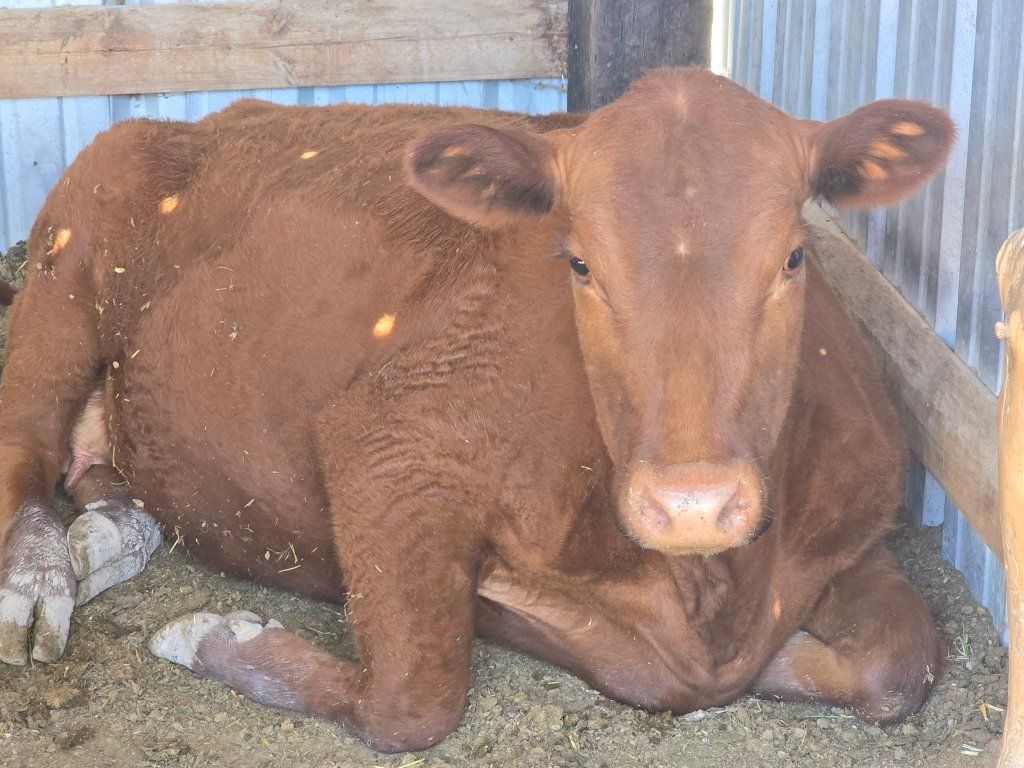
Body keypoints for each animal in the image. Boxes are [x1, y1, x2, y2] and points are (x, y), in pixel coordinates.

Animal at [0, 69, 953, 752]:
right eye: (579, 264)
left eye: (794, 256)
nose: (692, 504)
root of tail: (204, 119)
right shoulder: (389, 439)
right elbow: (411, 701)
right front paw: (214, 637)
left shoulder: (852, 530)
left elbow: (902, 666)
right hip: (62, 270)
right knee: (24, 452)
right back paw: (38, 585)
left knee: (111, 488)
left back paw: (100, 542)